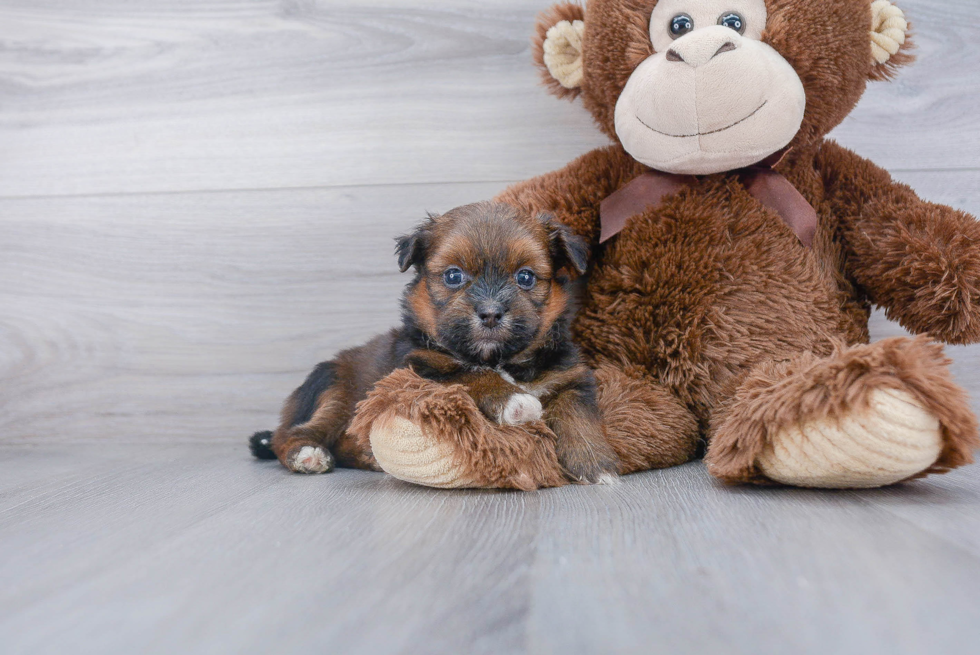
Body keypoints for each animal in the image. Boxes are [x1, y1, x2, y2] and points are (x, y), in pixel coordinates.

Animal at [253, 202, 620, 484]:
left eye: (526, 277)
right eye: (453, 276)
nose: (490, 312)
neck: (497, 358)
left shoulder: (569, 378)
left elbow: (577, 416)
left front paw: (596, 465)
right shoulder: (421, 368)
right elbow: (470, 374)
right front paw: (514, 400)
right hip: (337, 392)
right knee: (292, 433)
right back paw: (307, 454)